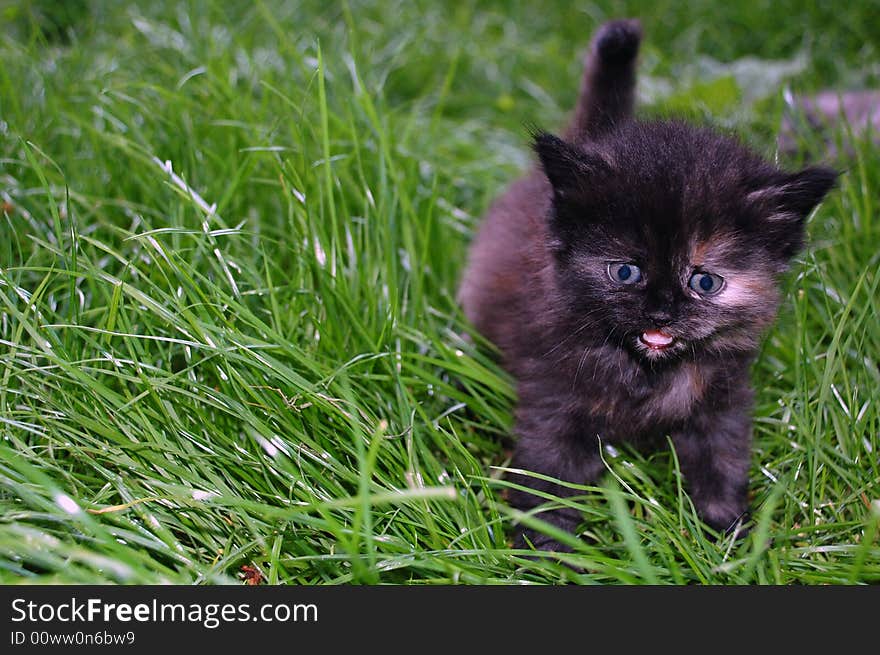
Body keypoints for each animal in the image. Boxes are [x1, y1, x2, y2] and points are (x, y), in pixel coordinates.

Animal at [458, 20, 836, 552]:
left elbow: (722, 465)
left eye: (704, 280)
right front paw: (547, 551)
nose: (661, 312)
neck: (648, 375)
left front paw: (728, 538)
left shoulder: (722, 403)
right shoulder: (553, 395)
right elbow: (549, 478)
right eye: (626, 273)